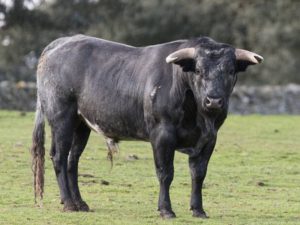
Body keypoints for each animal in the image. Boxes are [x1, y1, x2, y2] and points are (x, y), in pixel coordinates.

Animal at [30, 34, 262, 218]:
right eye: (197, 70)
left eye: (231, 70)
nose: (213, 101)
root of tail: (60, 43)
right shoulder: (162, 135)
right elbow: (165, 173)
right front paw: (166, 209)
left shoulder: (209, 139)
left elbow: (198, 174)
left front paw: (198, 210)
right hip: (62, 118)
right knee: (59, 157)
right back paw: (69, 203)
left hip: (81, 124)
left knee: (73, 159)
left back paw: (80, 203)